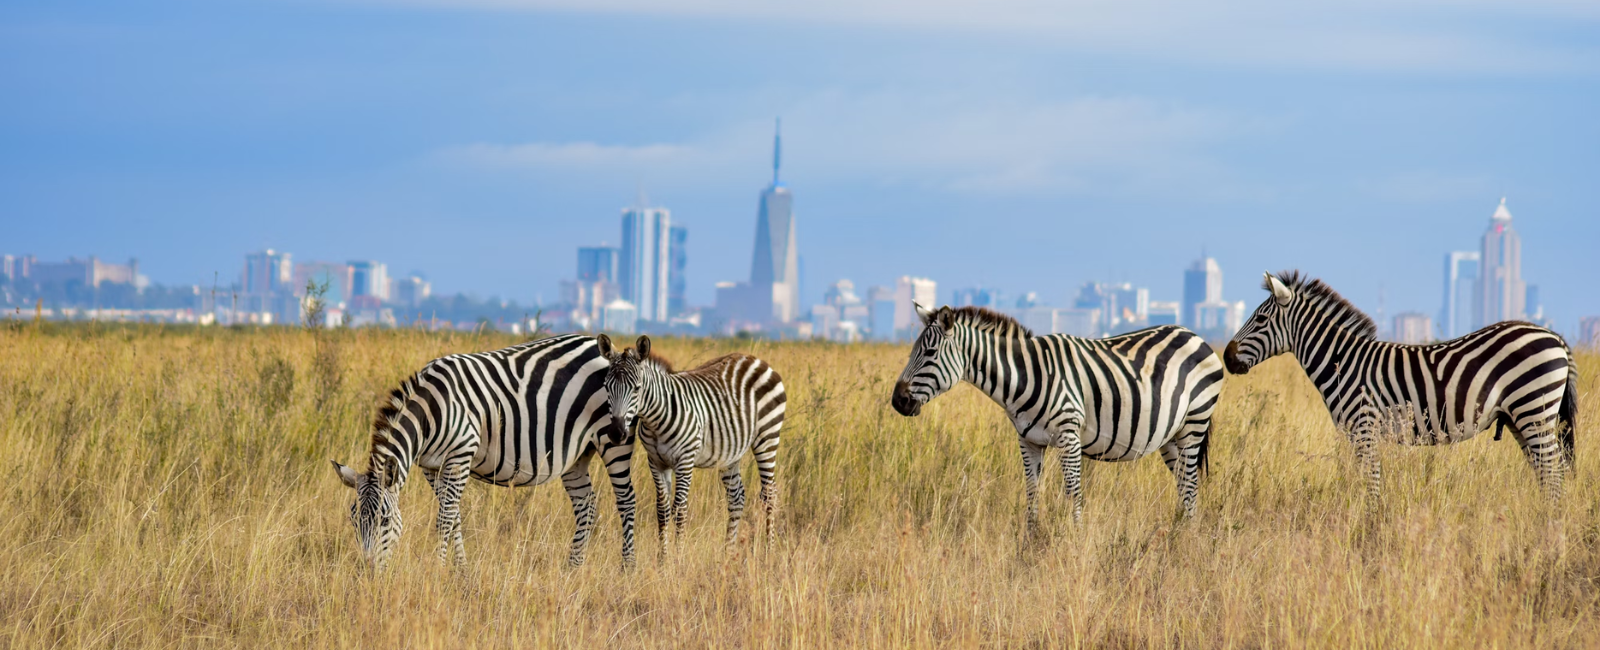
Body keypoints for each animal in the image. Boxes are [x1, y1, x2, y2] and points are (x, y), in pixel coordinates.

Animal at [329, 334, 636, 569]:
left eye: (385, 520)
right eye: (353, 520)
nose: (368, 570)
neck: (431, 412)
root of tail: (597, 344)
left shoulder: (460, 456)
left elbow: (445, 518)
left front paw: (438, 570)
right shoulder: (430, 467)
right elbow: (454, 517)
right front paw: (461, 570)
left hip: (613, 438)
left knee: (626, 500)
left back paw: (627, 568)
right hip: (577, 454)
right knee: (587, 505)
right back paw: (573, 568)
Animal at [598, 334, 784, 553]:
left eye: (637, 388)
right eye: (606, 387)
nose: (616, 434)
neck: (656, 419)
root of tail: (754, 359)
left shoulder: (685, 461)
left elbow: (680, 510)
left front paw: (678, 557)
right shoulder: (656, 462)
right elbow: (662, 510)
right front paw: (663, 557)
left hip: (767, 437)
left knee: (770, 494)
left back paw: (769, 550)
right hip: (730, 452)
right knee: (736, 498)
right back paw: (728, 552)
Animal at [889, 304, 1222, 534]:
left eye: (930, 352)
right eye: (913, 351)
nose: (897, 400)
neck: (1025, 377)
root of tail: (1195, 336)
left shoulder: (1069, 436)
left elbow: (1073, 493)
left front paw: (1074, 540)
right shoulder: (1028, 441)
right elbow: (1032, 492)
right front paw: (1030, 542)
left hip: (1194, 423)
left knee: (1191, 483)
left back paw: (1186, 539)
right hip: (1171, 436)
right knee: (1183, 484)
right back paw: (1180, 532)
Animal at [1222, 268, 1574, 502]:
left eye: (1260, 320)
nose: (1226, 357)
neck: (1342, 362)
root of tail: (1554, 336)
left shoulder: (1364, 428)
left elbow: (1371, 482)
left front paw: (1370, 527)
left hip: (1534, 409)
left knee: (1553, 471)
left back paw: (1549, 526)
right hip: (1520, 418)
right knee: (1545, 471)